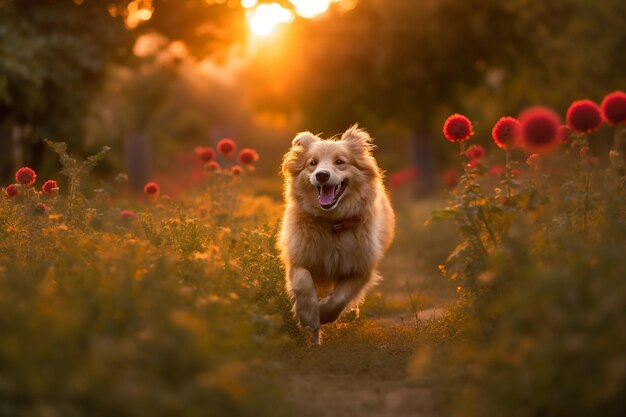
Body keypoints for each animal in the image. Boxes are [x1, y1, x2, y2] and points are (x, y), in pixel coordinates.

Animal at [276, 125, 392, 342]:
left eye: (340, 162)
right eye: (312, 163)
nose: (321, 175)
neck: (332, 223)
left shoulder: (360, 268)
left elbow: (338, 300)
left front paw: (323, 314)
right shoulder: (298, 259)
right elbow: (303, 283)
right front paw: (308, 316)